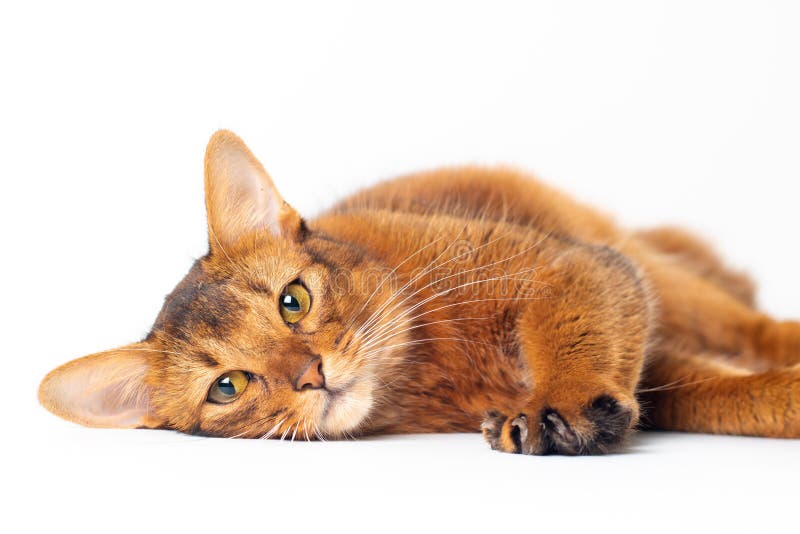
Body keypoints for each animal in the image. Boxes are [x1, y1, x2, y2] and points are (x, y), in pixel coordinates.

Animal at [37, 130, 800, 456]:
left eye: (293, 300)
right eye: (227, 387)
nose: (311, 375)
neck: (425, 373)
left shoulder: (572, 266)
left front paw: (558, 401)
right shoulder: (663, 372)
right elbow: (741, 397)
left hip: (648, 264)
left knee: (750, 326)